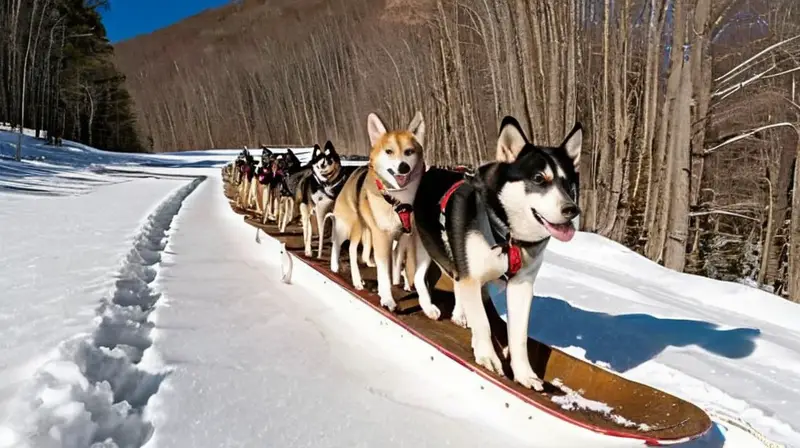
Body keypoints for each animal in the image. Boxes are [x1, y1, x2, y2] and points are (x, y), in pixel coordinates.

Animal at [326, 111, 424, 312]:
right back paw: (344, 272)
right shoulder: (382, 237)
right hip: (352, 227)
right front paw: (387, 298)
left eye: (409, 151)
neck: (399, 200)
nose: (403, 166)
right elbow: (384, 272)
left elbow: (398, 263)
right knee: (345, 247)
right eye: (389, 151)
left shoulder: (404, 236)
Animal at [412, 116, 580, 392]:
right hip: (425, 246)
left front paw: (524, 374)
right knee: (420, 276)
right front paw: (488, 357)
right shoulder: (472, 276)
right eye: (538, 178)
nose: (571, 210)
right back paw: (430, 307)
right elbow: (482, 321)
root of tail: (433, 169)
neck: (507, 236)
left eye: (568, 183)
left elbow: (518, 336)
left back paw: (460, 313)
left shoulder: (521, 286)